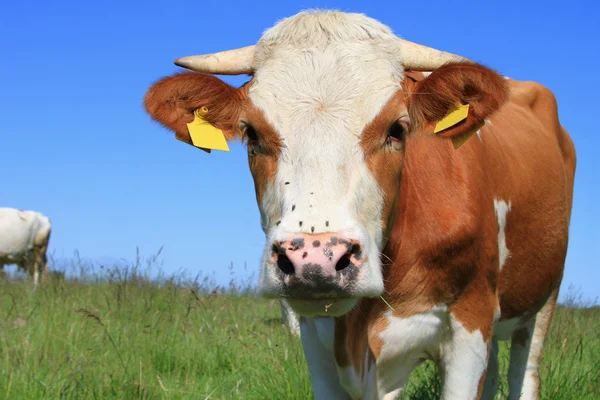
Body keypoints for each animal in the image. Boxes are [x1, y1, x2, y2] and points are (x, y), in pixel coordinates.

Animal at [144, 9, 576, 400]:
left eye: (397, 129)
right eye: (251, 134)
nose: (314, 260)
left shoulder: (471, 322)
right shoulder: (314, 335)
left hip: (541, 299)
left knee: (524, 372)